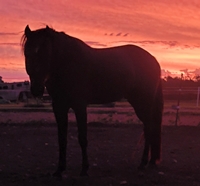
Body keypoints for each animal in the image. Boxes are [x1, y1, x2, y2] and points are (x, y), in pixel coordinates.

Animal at [21, 25, 163, 177]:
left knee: (148, 128)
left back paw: (143, 163)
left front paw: (84, 169)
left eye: (46, 53)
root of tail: (153, 60)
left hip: (143, 103)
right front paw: (60, 169)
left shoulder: (79, 106)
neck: (67, 63)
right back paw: (150, 161)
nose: (36, 89)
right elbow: (62, 139)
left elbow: (82, 138)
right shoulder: (59, 107)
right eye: (27, 53)